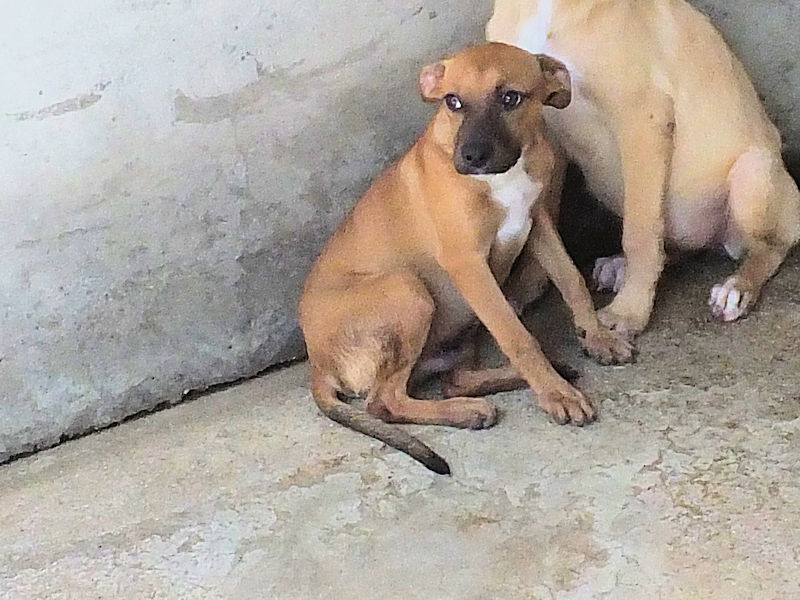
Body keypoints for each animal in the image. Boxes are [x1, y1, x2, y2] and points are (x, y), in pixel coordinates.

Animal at [299, 43, 631, 474]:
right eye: (452, 101)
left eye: (510, 98)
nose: (470, 157)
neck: (503, 177)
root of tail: (318, 364)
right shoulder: (468, 264)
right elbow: (517, 336)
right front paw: (555, 394)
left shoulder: (538, 222)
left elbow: (572, 280)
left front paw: (598, 338)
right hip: (407, 288)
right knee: (383, 402)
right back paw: (468, 410)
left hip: (462, 324)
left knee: (451, 379)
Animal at [487, 0, 800, 336]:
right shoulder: (540, 131)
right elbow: (548, 230)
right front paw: (523, 289)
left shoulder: (642, 120)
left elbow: (640, 234)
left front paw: (628, 312)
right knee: (676, 246)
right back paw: (620, 265)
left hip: (753, 173)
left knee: (772, 247)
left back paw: (737, 288)